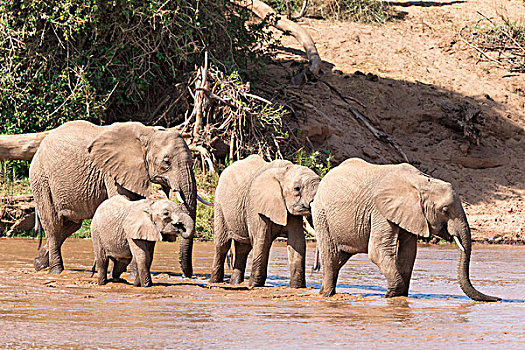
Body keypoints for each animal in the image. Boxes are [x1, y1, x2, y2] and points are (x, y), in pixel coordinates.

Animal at [29, 120, 196, 276]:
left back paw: (39, 265)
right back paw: (56, 271)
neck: (147, 133)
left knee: (71, 225)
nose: (187, 275)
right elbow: (122, 200)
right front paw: (132, 273)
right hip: (41, 180)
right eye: (166, 162)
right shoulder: (112, 171)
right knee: (54, 224)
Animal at [209, 155, 320, 288]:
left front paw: (297, 287)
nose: (315, 268)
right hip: (219, 206)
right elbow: (262, 242)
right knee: (222, 245)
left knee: (243, 248)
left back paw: (235, 284)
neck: (284, 171)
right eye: (297, 189)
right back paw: (214, 282)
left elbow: (297, 242)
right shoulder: (257, 206)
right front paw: (254, 286)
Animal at [312, 158, 500, 300]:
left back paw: (323, 292)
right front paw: (391, 296)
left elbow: (408, 252)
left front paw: (399, 295)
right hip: (322, 215)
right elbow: (378, 250)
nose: (498, 298)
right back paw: (326, 295)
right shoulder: (380, 210)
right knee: (330, 255)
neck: (421, 183)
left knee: (339, 259)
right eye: (446, 210)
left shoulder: (412, 214)